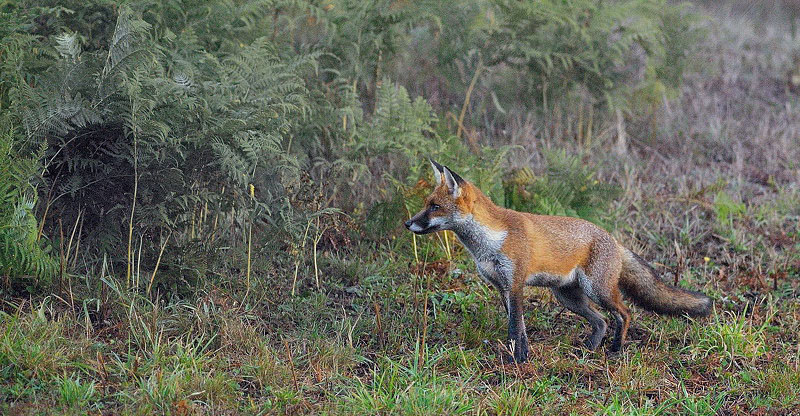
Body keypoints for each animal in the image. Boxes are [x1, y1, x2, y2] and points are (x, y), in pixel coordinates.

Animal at [404, 159, 712, 362]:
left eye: (434, 207)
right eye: (426, 204)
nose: (408, 223)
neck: (489, 241)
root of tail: (613, 239)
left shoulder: (515, 284)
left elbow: (516, 326)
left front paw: (518, 360)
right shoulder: (501, 287)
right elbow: (516, 327)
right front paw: (517, 354)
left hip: (597, 291)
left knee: (624, 313)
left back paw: (616, 349)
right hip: (568, 297)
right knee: (601, 321)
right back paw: (589, 349)